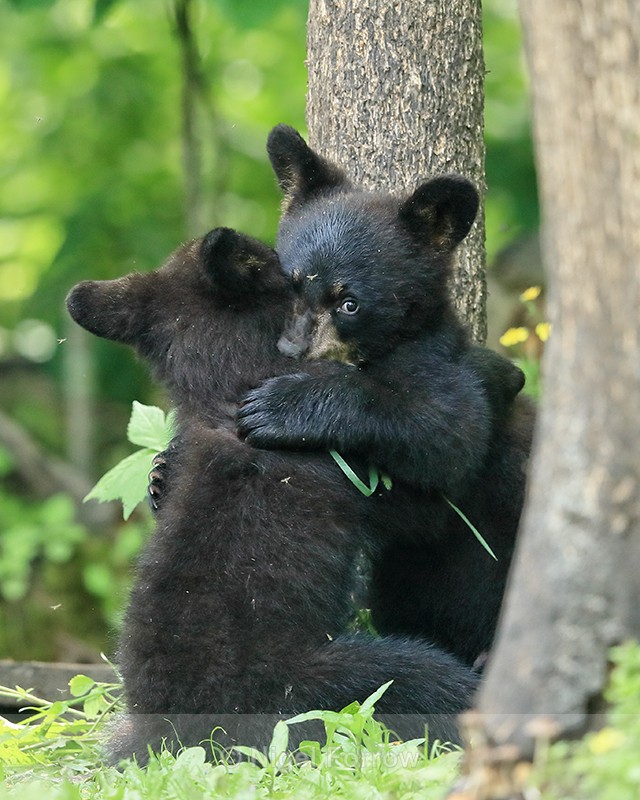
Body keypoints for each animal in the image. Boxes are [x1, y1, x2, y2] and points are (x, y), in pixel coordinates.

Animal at [66, 227, 480, 764]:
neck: (223, 396)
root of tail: (170, 736)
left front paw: (162, 474)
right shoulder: (336, 466)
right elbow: (426, 494)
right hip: (323, 685)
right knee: (421, 678)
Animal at [236, 125, 536, 667]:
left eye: (350, 303)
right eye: (291, 282)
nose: (290, 351)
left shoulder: (447, 368)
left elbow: (448, 434)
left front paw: (278, 406)